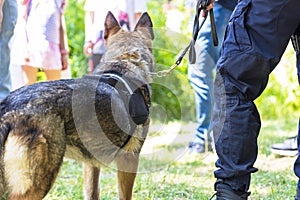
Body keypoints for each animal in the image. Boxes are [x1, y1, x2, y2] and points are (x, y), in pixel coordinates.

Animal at [0, 11, 155, 200]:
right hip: (39, 182)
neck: (123, 62)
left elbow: (92, 192)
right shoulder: (129, 158)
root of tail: (9, 109)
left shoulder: (91, 163)